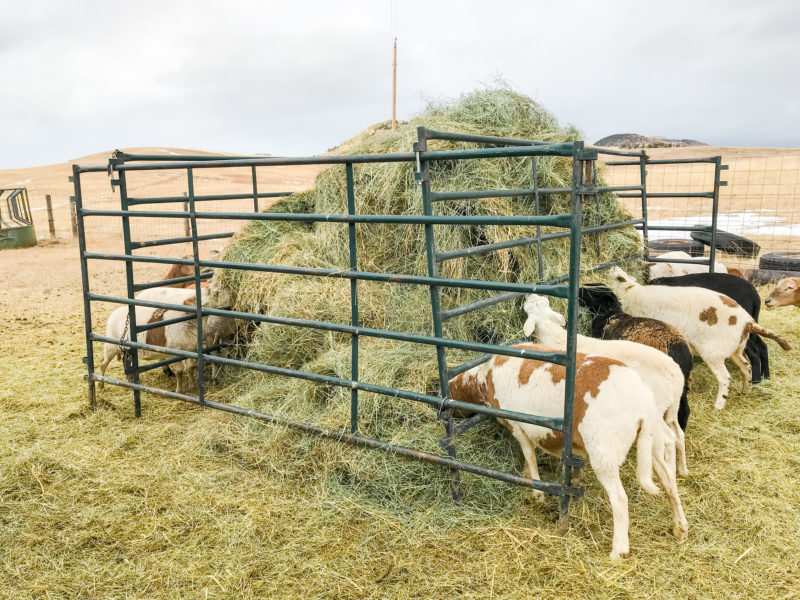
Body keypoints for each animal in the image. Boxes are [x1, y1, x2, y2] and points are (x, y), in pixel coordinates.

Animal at [450, 344, 688, 560]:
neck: (483, 378)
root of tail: (643, 405)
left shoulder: (518, 426)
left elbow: (529, 454)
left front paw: (537, 491)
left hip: (605, 453)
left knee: (620, 499)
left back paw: (618, 551)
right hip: (652, 442)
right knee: (669, 481)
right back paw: (680, 526)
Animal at [608, 268, 792, 412]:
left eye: (617, 277)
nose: (612, 269)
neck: (632, 293)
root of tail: (746, 322)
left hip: (714, 353)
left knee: (725, 378)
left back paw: (719, 405)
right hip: (735, 349)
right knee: (746, 366)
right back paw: (746, 390)